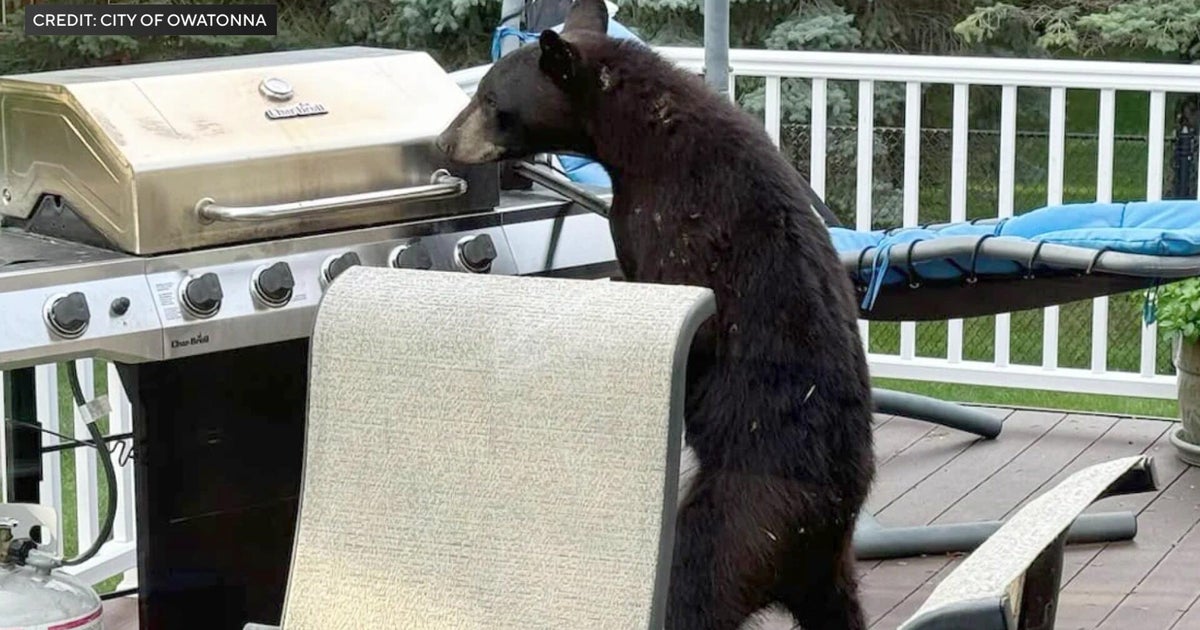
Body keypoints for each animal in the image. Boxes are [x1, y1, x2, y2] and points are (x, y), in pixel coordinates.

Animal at [436, 1, 876, 629]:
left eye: (490, 99)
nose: (444, 141)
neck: (639, 137)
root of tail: (819, 529)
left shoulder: (673, 220)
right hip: (830, 568)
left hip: (740, 521)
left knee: (691, 589)